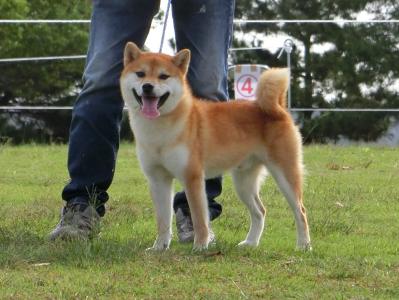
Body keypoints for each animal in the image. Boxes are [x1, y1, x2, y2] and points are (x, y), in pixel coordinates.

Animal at [120, 42, 314, 252]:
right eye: (140, 74)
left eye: (163, 76)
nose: (147, 86)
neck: (160, 130)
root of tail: (277, 109)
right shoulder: (158, 180)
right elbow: (163, 220)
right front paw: (159, 247)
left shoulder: (192, 177)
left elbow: (199, 218)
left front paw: (200, 246)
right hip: (243, 183)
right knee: (260, 211)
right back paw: (251, 242)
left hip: (285, 175)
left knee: (300, 211)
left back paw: (303, 245)